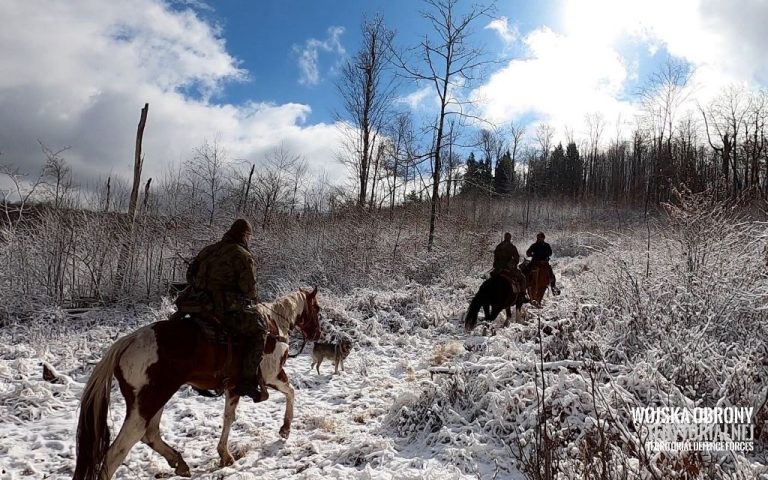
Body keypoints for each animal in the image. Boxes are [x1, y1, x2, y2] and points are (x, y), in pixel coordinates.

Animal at [72, 288, 320, 480]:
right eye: (316, 309)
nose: (317, 333)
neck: (273, 327)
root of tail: (128, 342)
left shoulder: (234, 387)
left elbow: (228, 417)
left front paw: (225, 455)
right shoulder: (273, 375)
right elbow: (291, 392)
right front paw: (285, 429)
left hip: (155, 399)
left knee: (150, 434)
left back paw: (179, 463)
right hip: (148, 403)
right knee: (118, 451)